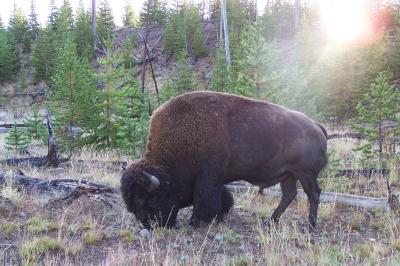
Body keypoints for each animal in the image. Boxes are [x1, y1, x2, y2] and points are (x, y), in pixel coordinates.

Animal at [120, 91, 326, 229]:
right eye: (131, 206)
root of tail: (316, 126)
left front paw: (195, 222)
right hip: (288, 174)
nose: (151, 225)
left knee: (313, 194)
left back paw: (311, 225)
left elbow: (205, 199)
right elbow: (223, 196)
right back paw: (270, 221)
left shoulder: (208, 176)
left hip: (305, 174)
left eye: (151, 200)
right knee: (289, 194)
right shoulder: (217, 178)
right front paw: (219, 217)